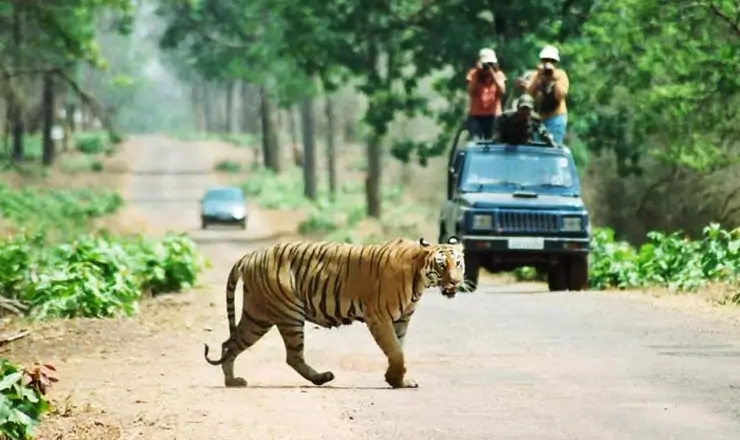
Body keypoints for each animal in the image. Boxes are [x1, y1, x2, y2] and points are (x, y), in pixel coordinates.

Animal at [202, 237, 466, 388]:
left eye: (458, 263)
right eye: (442, 265)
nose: (455, 281)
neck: (420, 278)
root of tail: (250, 255)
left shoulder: (401, 320)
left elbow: (399, 350)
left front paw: (398, 380)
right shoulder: (379, 317)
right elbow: (396, 351)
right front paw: (395, 380)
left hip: (257, 316)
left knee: (230, 344)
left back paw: (232, 381)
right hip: (288, 313)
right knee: (292, 356)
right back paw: (322, 378)